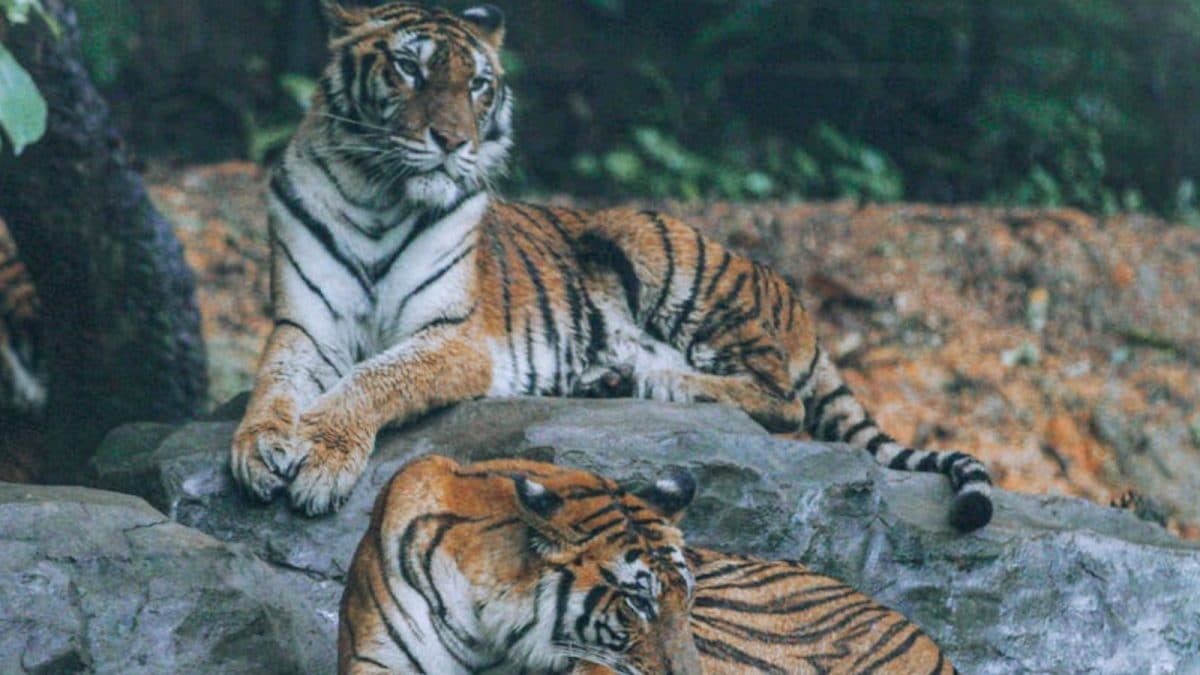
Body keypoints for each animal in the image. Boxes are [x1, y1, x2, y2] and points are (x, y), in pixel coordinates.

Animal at [229, 0, 994, 532]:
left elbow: (374, 379)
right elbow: (275, 382)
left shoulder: (455, 336)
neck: (379, 194)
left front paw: (321, 460)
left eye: (478, 84)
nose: (453, 141)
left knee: (781, 397)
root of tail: (793, 296)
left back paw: (654, 379)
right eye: (409, 68)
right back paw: (607, 376)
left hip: (660, 251)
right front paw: (259, 448)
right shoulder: (304, 326)